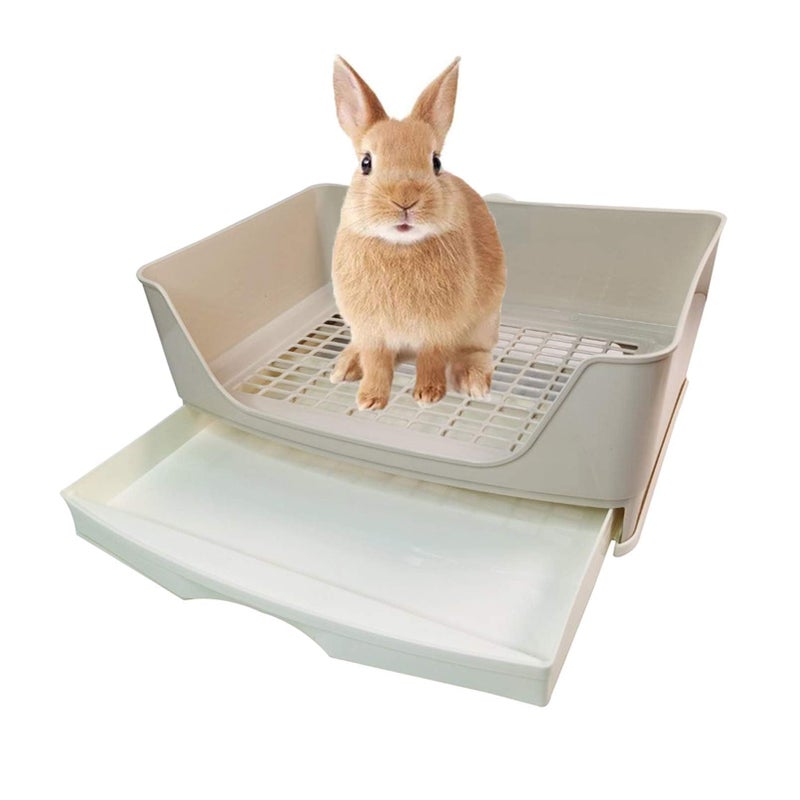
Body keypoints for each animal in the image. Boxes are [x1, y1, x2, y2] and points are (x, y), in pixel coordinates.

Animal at [330, 56, 506, 410]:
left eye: (436, 162)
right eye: (366, 163)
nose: (405, 199)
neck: (400, 246)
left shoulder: (438, 331)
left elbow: (432, 359)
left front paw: (428, 395)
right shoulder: (371, 332)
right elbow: (376, 363)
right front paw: (369, 399)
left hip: (484, 323)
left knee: (474, 351)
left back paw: (473, 381)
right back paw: (346, 366)